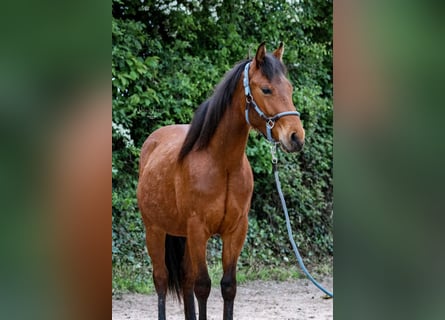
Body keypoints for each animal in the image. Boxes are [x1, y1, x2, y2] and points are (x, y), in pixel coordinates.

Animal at [137, 42, 306, 320]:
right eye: (266, 89)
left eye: (290, 88)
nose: (296, 137)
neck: (222, 163)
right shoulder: (198, 230)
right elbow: (203, 286)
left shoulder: (235, 231)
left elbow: (228, 286)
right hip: (155, 230)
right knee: (161, 280)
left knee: (185, 278)